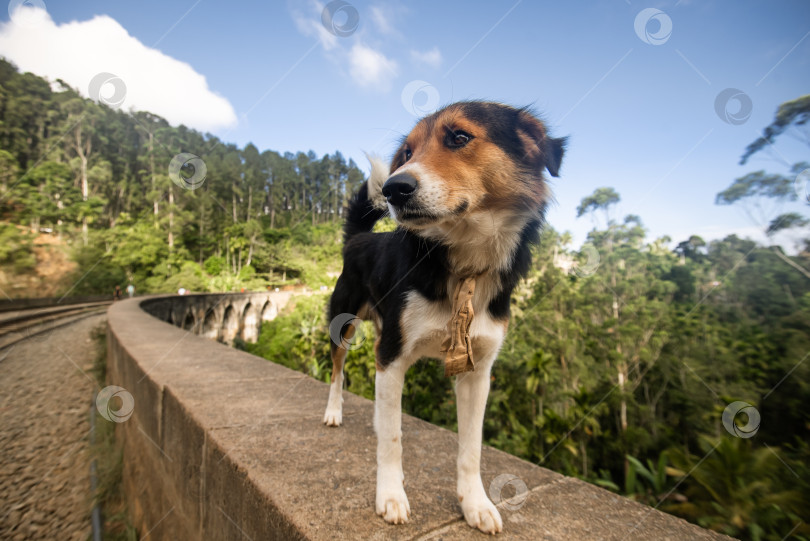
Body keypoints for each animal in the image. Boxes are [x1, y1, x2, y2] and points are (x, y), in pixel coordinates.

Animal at [322, 100, 560, 532]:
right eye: (406, 153)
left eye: (460, 137)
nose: (392, 189)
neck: (463, 264)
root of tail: (359, 237)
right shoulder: (392, 354)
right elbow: (393, 441)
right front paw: (391, 495)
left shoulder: (477, 372)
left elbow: (471, 448)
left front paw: (475, 503)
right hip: (344, 324)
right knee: (337, 369)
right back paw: (333, 411)